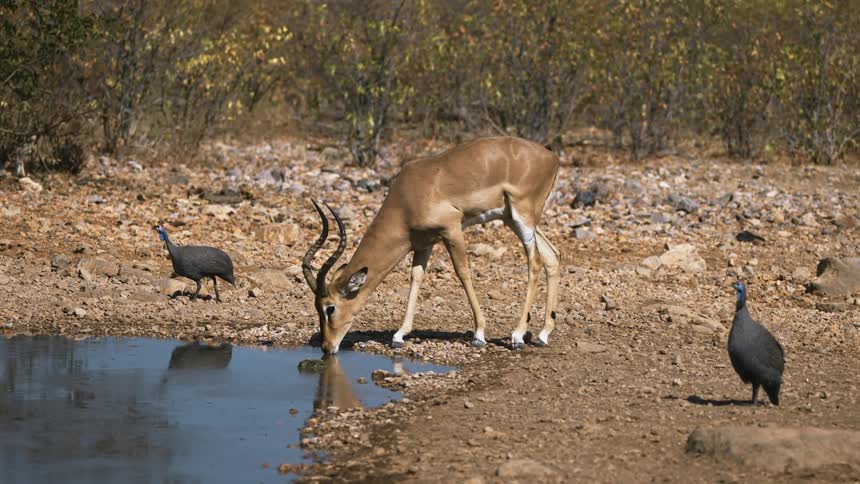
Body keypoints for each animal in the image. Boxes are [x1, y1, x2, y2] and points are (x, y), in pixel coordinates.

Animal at [302, 137, 561, 354]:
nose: (327, 347)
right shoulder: (423, 243)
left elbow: (463, 273)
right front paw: (399, 335)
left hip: (522, 217)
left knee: (535, 261)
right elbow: (416, 277)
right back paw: (542, 335)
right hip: (514, 219)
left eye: (329, 308)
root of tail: (550, 155)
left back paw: (517, 336)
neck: (408, 197)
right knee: (552, 255)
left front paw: (479, 334)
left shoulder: (452, 229)